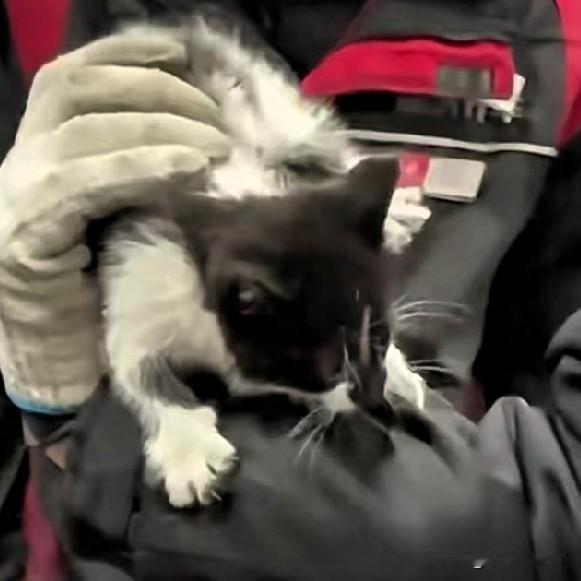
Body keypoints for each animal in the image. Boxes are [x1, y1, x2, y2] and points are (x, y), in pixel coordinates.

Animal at [98, 22, 426, 507]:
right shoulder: (137, 269)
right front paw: (189, 450)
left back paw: (397, 208)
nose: (375, 402)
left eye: (383, 340)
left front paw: (399, 374)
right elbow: (134, 366)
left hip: (267, 108)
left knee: (322, 149)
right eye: (330, 367)